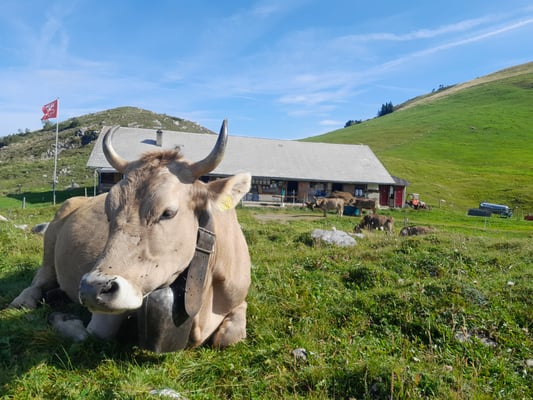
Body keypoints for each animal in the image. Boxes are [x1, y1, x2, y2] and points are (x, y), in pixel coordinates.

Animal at [10, 121, 252, 352]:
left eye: (168, 213)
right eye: (108, 211)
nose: (92, 289)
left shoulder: (239, 298)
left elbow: (230, 336)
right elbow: (88, 335)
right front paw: (61, 317)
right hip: (50, 247)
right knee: (39, 279)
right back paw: (25, 300)